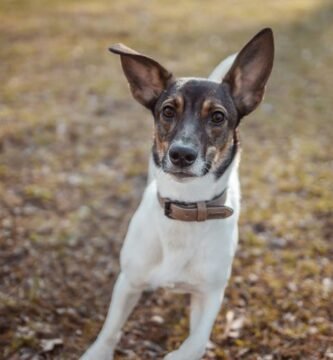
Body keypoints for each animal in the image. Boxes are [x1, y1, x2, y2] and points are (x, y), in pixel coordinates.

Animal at [81, 28, 274, 360]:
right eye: (168, 111)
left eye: (218, 117)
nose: (182, 154)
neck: (185, 208)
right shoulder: (128, 282)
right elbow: (109, 330)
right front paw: (97, 352)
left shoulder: (210, 294)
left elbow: (196, 343)